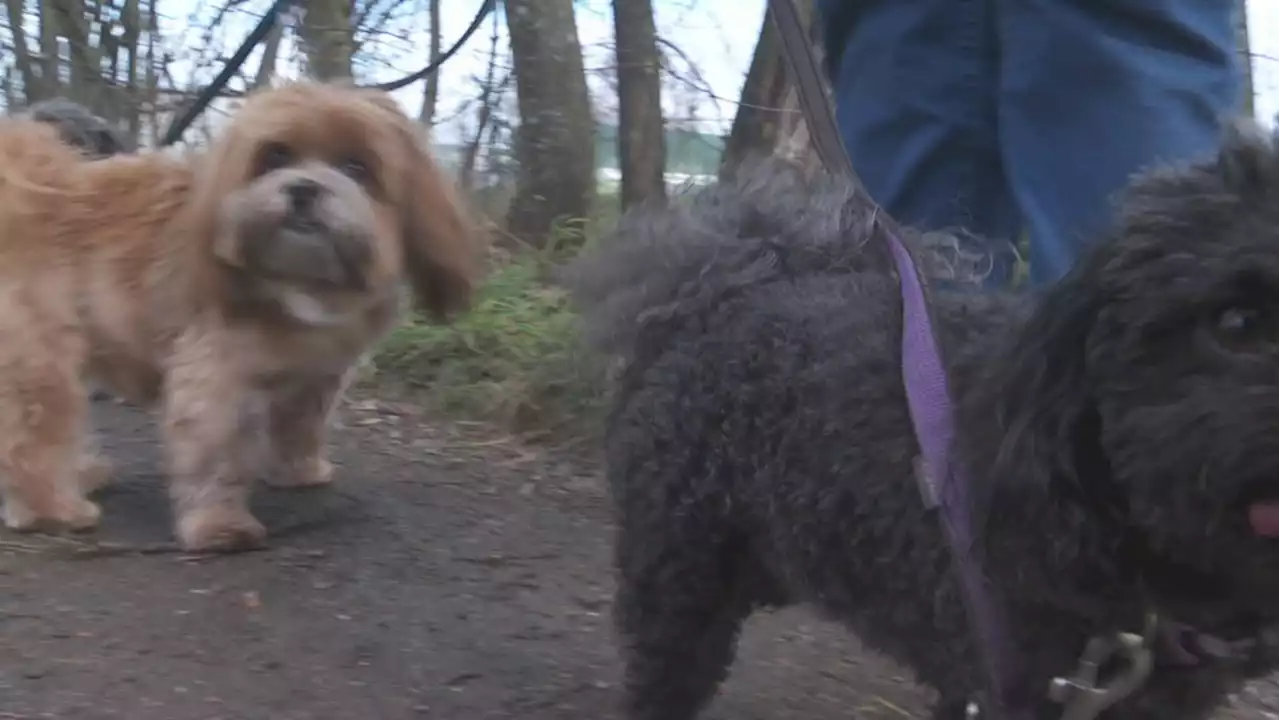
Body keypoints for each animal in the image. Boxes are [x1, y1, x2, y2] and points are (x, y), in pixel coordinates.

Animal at [0, 81, 478, 548]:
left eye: (356, 166)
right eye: (275, 155)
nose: (303, 189)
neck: (298, 283)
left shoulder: (317, 376)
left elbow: (300, 425)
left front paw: (299, 470)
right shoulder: (216, 379)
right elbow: (218, 455)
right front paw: (220, 524)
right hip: (40, 357)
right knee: (34, 435)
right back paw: (53, 510)